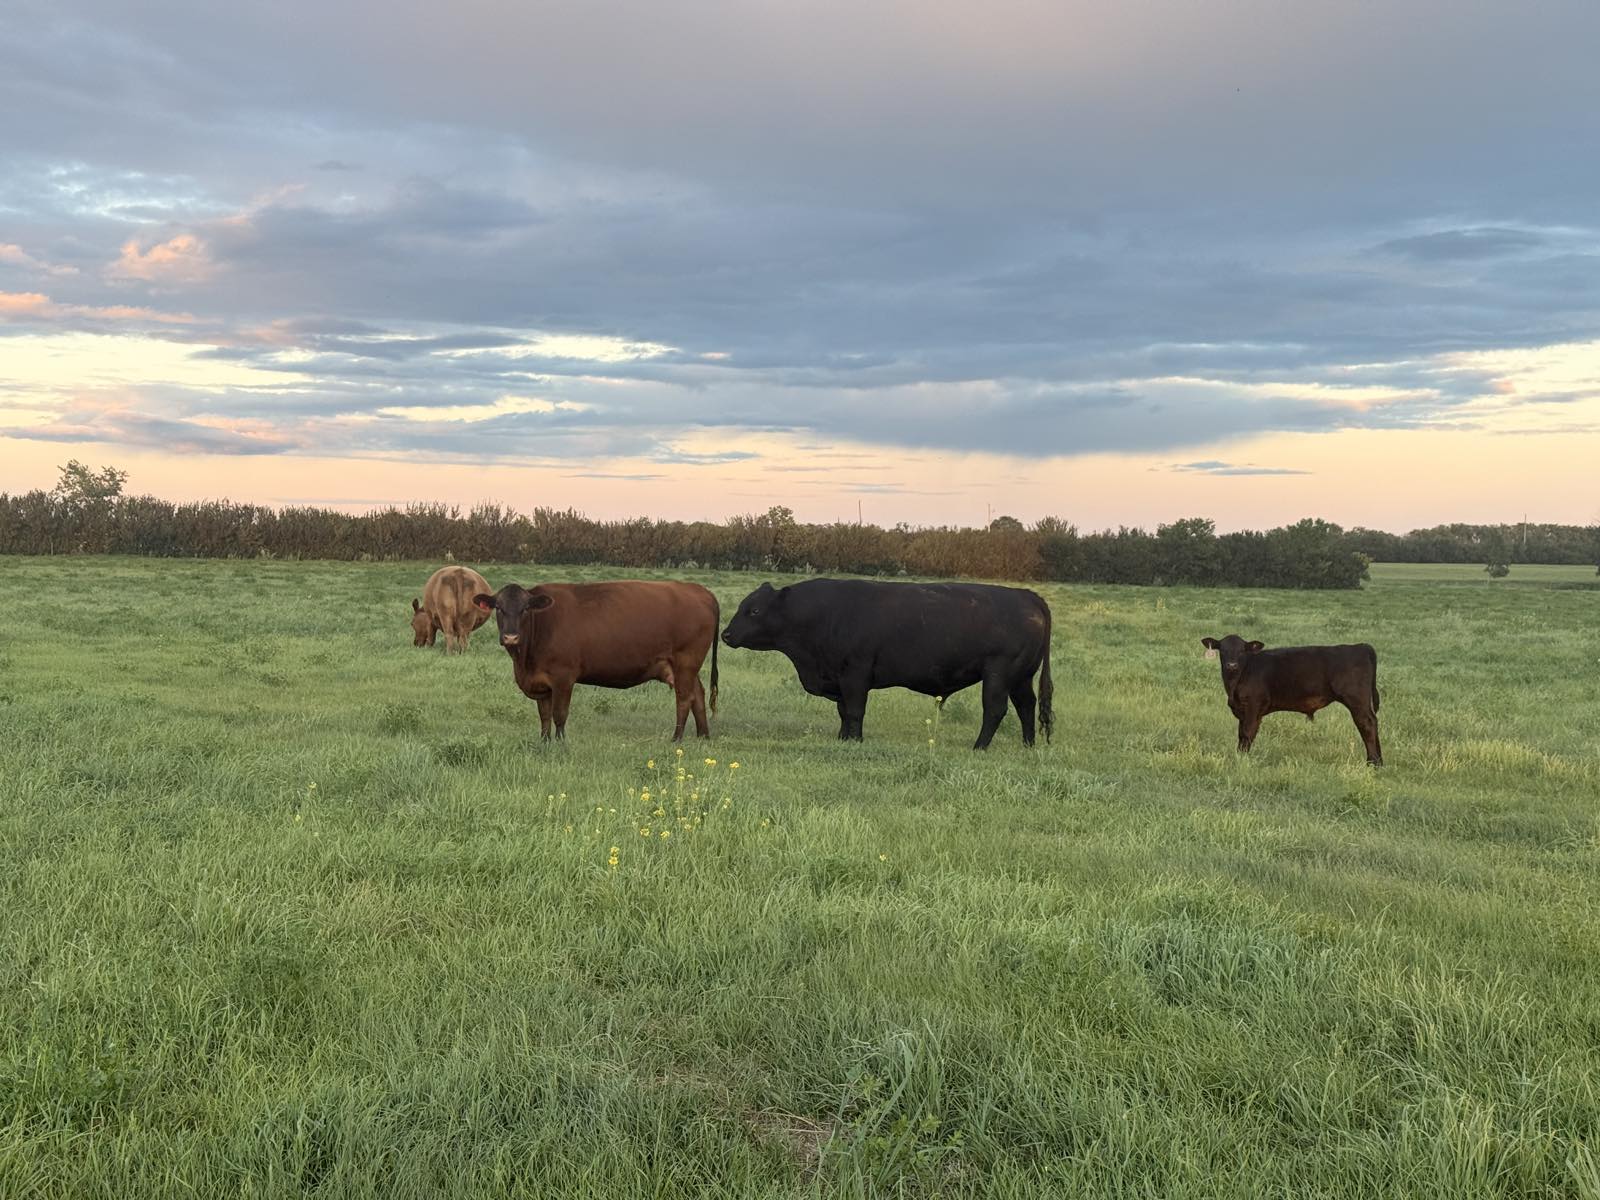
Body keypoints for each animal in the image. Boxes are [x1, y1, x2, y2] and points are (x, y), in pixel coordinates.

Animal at [474, 580, 720, 741]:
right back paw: (703, 736)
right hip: (683, 668)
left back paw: (676, 738)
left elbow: (559, 715)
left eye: (525, 609)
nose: (510, 637)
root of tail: (699, 590)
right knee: (698, 694)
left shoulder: (563, 678)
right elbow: (544, 716)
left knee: (684, 698)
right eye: (499, 608)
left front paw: (560, 743)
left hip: (685, 662)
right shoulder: (541, 683)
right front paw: (544, 742)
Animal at [720, 579, 1053, 749]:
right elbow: (844, 711)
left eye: (754, 610)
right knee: (1027, 706)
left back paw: (979, 746)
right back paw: (1028, 744)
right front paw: (843, 739)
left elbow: (855, 710)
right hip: (1021, 676)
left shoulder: (855, 673)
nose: (725, 634)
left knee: (995, 710)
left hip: (998, 673)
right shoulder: (839, 677)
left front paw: (855, 741)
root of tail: (1027, 596)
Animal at [1199, 634, 1382, 765]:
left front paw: (1242, 760)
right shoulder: (1243, 711)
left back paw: (1373, 762)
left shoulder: (1253, 706)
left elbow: (1247, 733)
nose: (1231, 665)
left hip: (1357, 700)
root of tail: (1361, 646)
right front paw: (1239, 755)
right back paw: (1379, 760)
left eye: (1242, 650)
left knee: (1367, 724)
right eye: (1222, 650)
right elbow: (1241, 734)